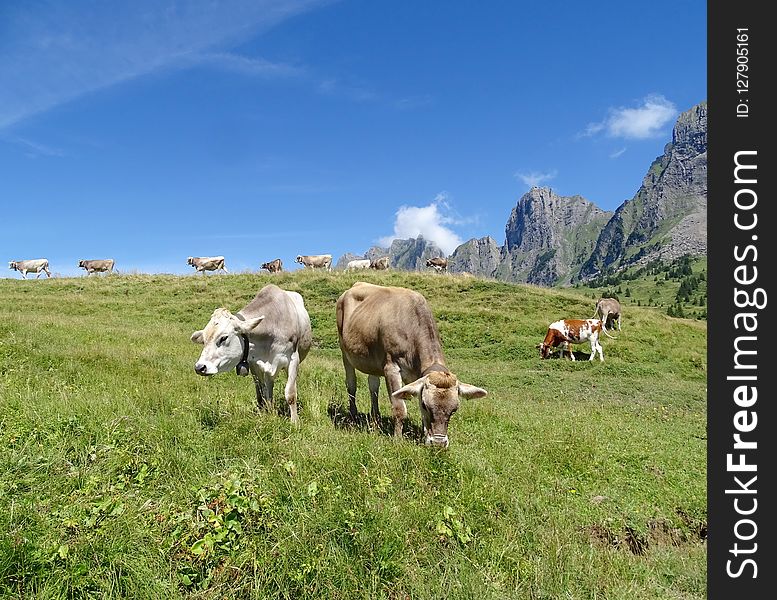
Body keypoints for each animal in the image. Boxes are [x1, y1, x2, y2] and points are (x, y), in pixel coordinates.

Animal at [191, 284, 312, 422]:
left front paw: (295, 422)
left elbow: (290, 393)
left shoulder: (293, 359)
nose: (200, 367)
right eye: (204, 340)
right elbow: (260, 392)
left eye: (223, 338)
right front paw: (265, 414)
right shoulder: (254, 364)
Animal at [334, 282, 484, 446]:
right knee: (351, 384)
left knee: (373, 386)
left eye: (454, 409)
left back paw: (375, 420)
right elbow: (399, 408)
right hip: (344, 351)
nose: (438, 443)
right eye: (426, 405)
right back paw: (353, 416)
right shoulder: (391, 368)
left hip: (372, 359)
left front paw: (424, 435)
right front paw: (398, 439)